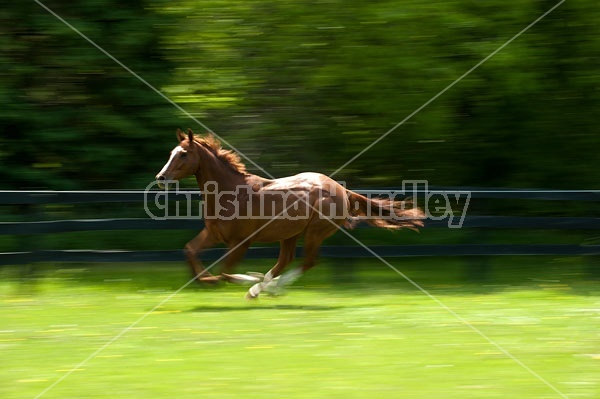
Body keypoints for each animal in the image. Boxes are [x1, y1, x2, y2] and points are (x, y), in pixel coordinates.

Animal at [157, 130, 424, 298]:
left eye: (183, 154)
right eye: (171, 152)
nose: (161, 177)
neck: (231, 192)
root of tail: (342, 190)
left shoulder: (241, 242)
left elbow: (224, 271)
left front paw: (245, 281)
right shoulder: (214, 234)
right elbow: (190, 251)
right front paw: (207, 280)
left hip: (314, 232)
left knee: (307, 262)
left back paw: (262, 289)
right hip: (291, 234)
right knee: (286, 260)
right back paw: (267, 285)